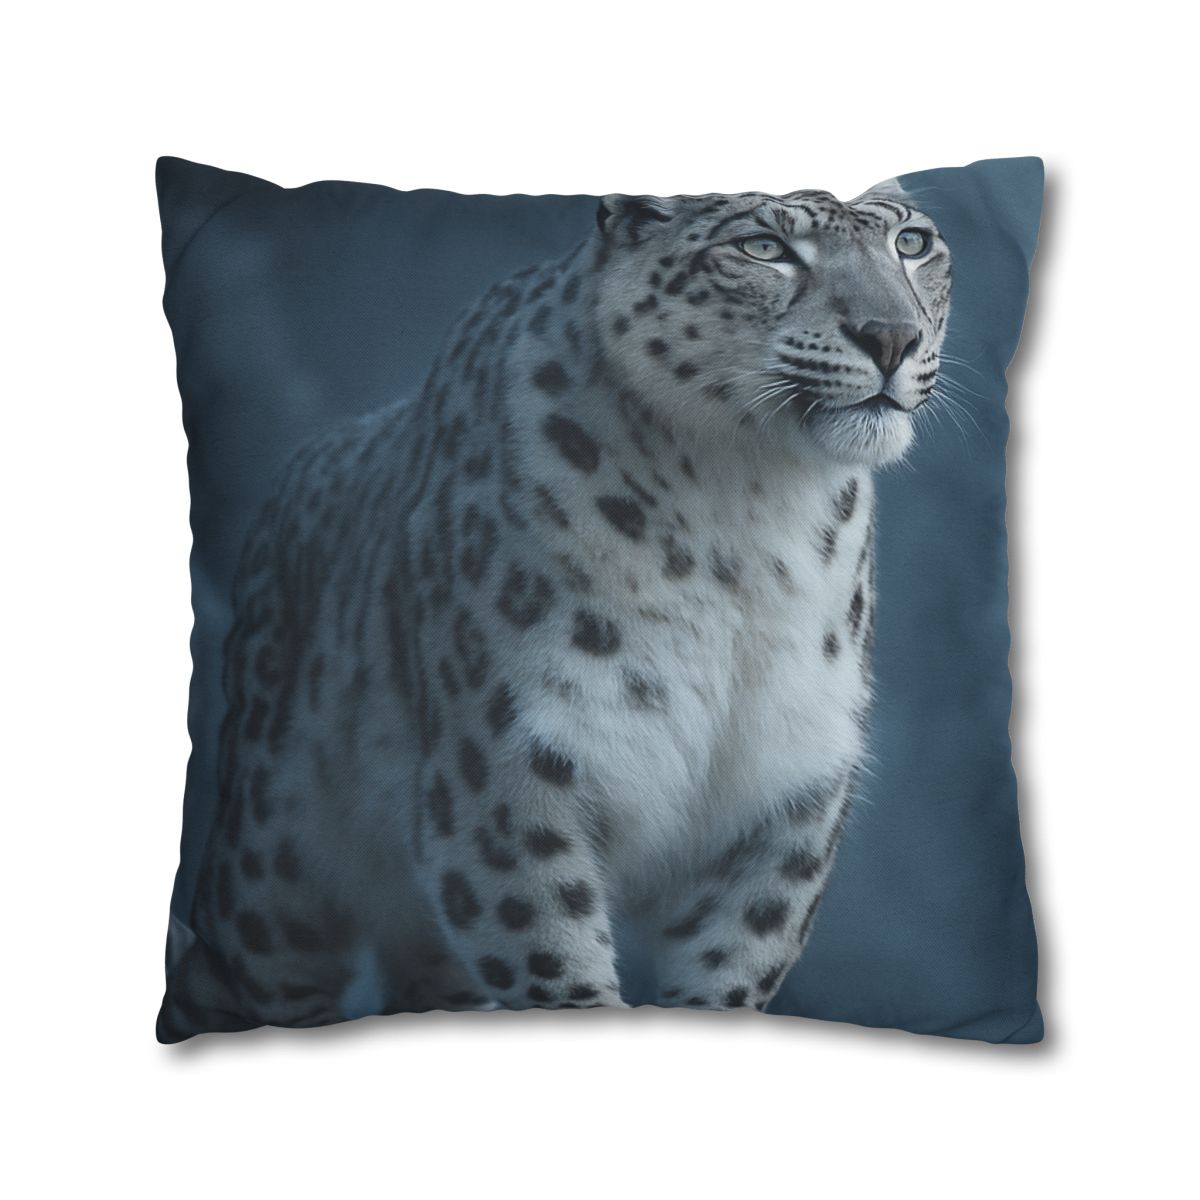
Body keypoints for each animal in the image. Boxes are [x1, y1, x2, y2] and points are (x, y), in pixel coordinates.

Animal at [158, 184, 952, 1040]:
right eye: (764, 248)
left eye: (911, 243)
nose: (892, 337)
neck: (751, 517)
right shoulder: (505, 778)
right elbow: (555, 961)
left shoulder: (783, 797)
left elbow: (732, 969)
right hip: (273, 872)